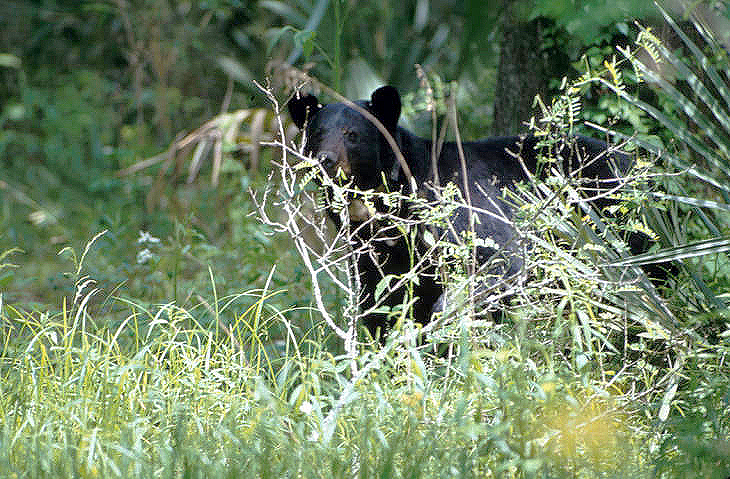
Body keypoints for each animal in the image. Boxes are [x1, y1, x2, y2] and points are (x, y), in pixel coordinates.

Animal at [288, 87, 656, 342]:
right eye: (316, 133)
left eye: (352, 135)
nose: (324, 160)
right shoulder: (372, 249)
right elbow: (381, 301)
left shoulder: (459, 206)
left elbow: (499, 258)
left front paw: (447, 318)